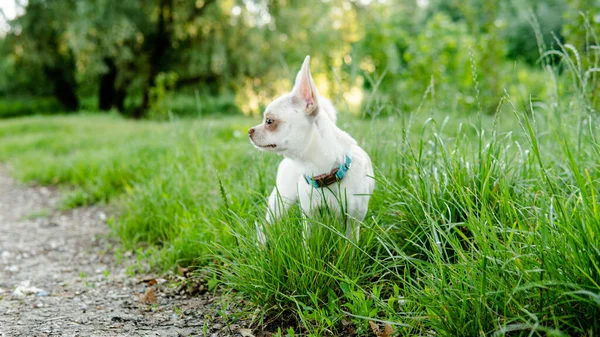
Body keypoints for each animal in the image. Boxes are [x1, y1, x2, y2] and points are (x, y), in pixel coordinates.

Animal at [247, 55, 370, 244]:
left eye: (269, 121)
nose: (250, 131)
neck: (325, 173)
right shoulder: (310, 216)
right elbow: (308, 242)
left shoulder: (352, 220)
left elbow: (351, 245)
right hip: (281, 200)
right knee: (264, 226)